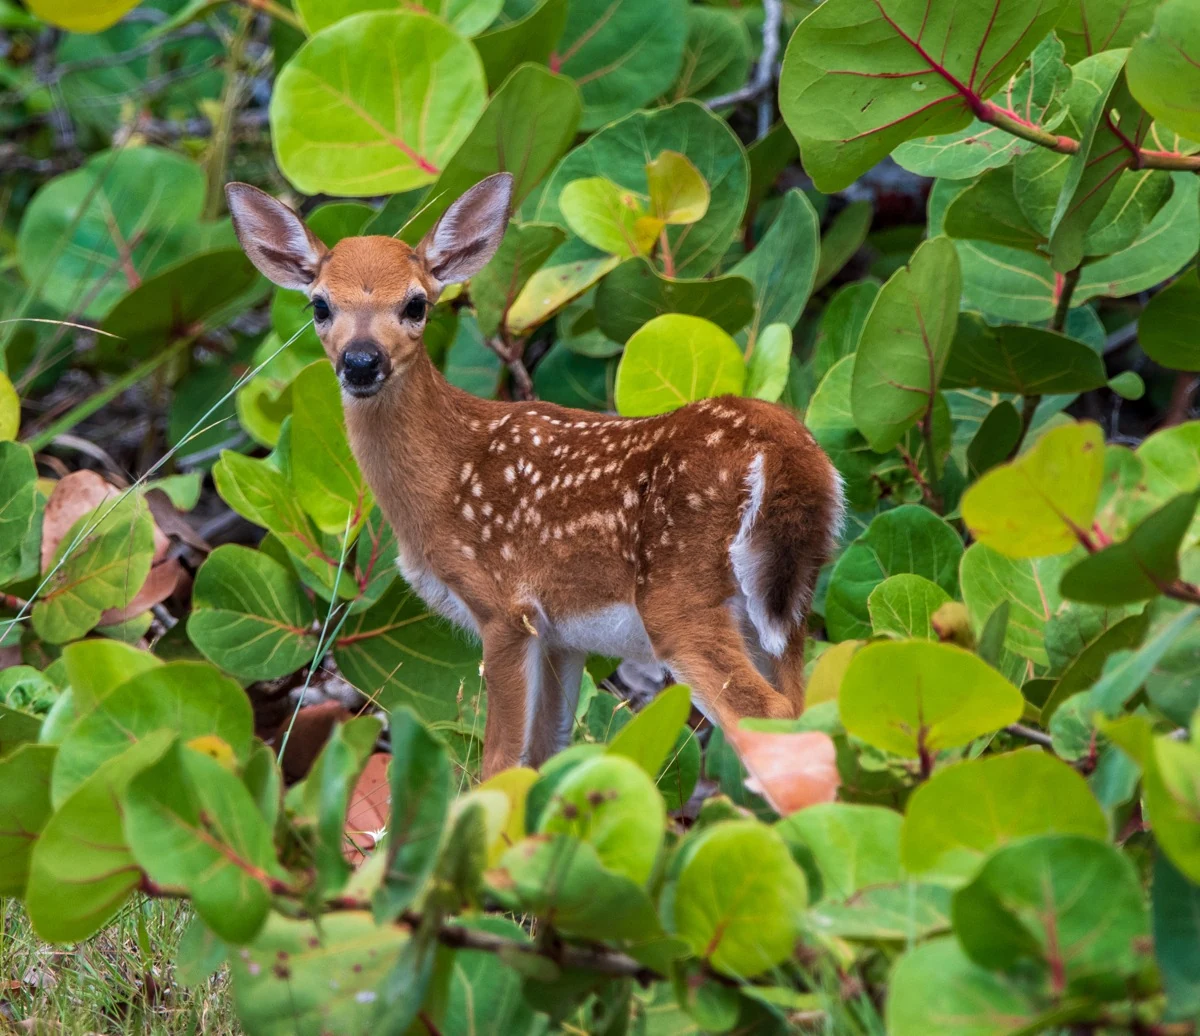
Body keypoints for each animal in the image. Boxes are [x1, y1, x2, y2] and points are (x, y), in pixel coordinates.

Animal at [225, 173, 845, 779]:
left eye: (417, 304)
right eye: (319, 306)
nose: (360, 362)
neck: (444, 479)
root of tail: (788, 454)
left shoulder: (504, 605)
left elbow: (500, 762)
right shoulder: (561, 636)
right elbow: (550, 752)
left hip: (683, 598)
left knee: (769, 717)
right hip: (786, 605)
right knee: (807, 706)